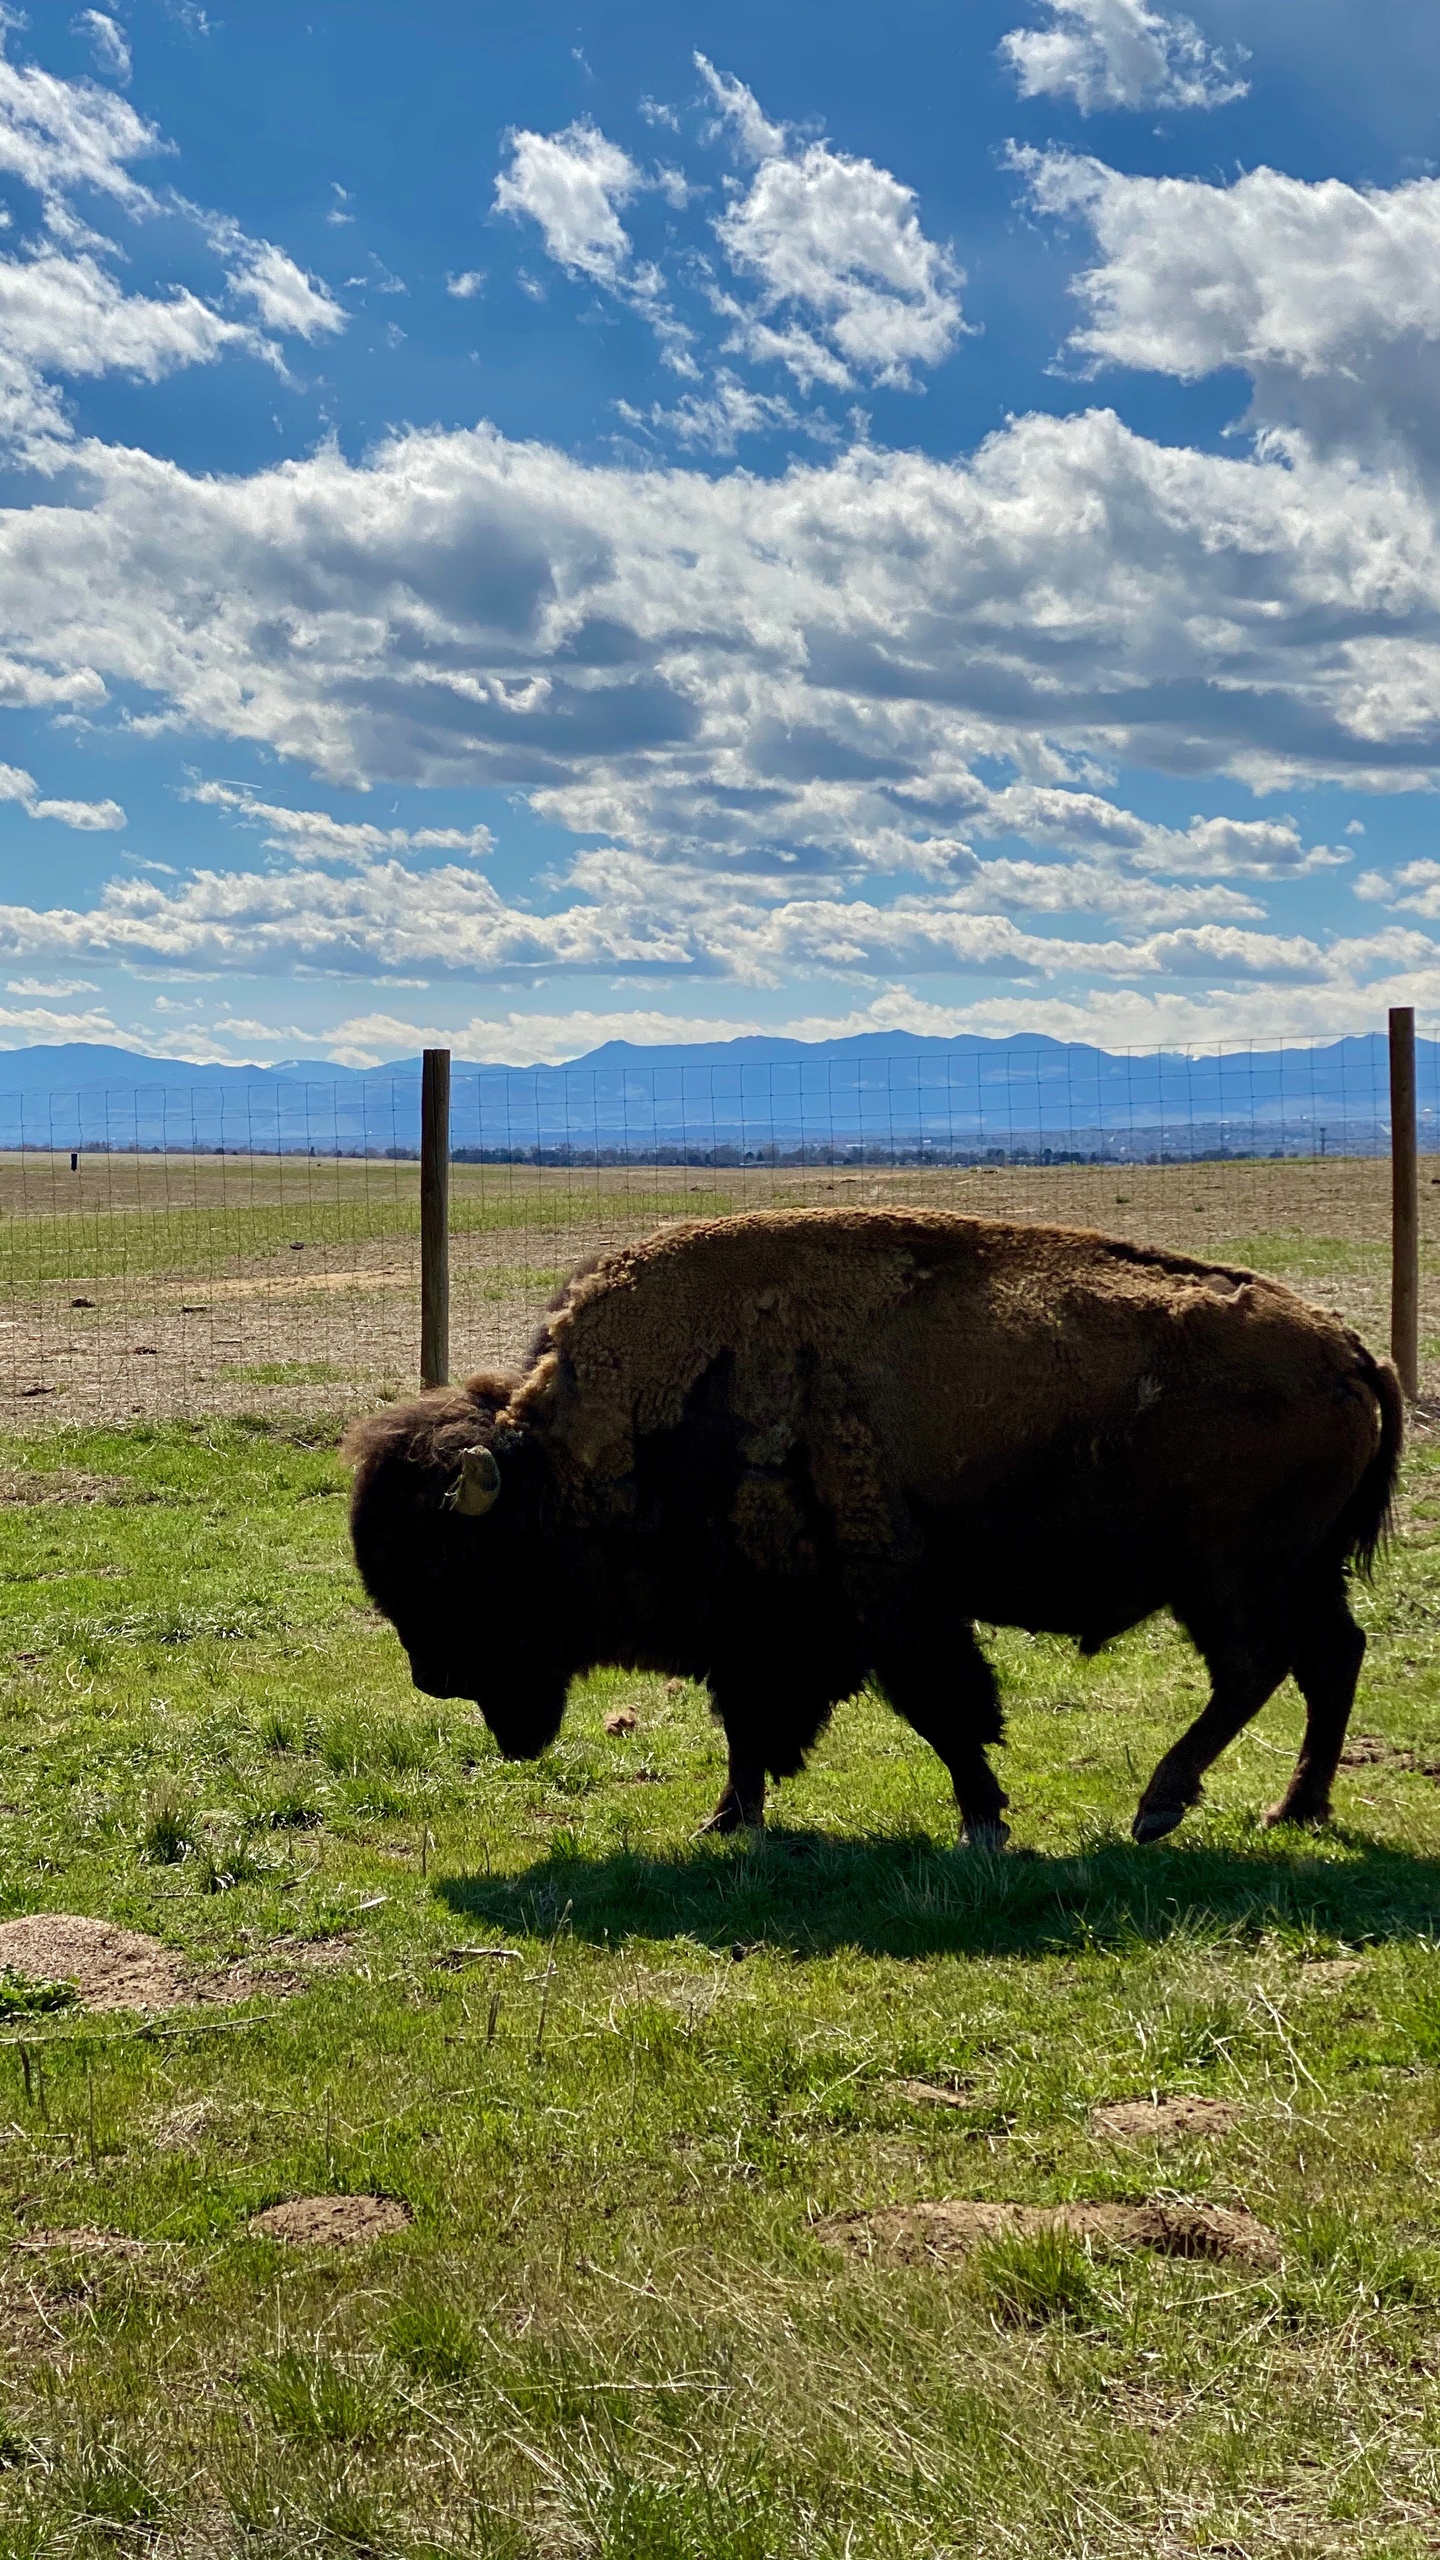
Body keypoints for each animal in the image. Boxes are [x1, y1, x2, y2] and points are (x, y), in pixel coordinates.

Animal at [340, 1213, 1393, 1843]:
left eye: (452, 1562)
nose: (433, 1679)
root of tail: (1347, 1347)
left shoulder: (885, 1600)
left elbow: (942, 1710)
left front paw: (983, 1824)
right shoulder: (755, 1626)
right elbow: (748, 1725)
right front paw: (728, 1821)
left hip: (1227, 1576)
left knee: (1257, 1665)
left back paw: (1160, 1807)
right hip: (1303, 1571)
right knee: (1331, 1659)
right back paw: (1293, 1809)